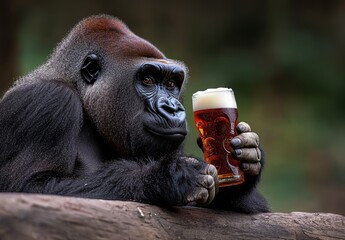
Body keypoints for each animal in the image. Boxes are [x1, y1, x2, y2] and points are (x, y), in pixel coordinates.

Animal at [0, 15, 268, 213]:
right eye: (147, 80)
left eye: (171, 84)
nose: (173, 108)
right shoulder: (48, 102)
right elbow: (31, 187)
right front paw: (167, 178)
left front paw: (248, 157)